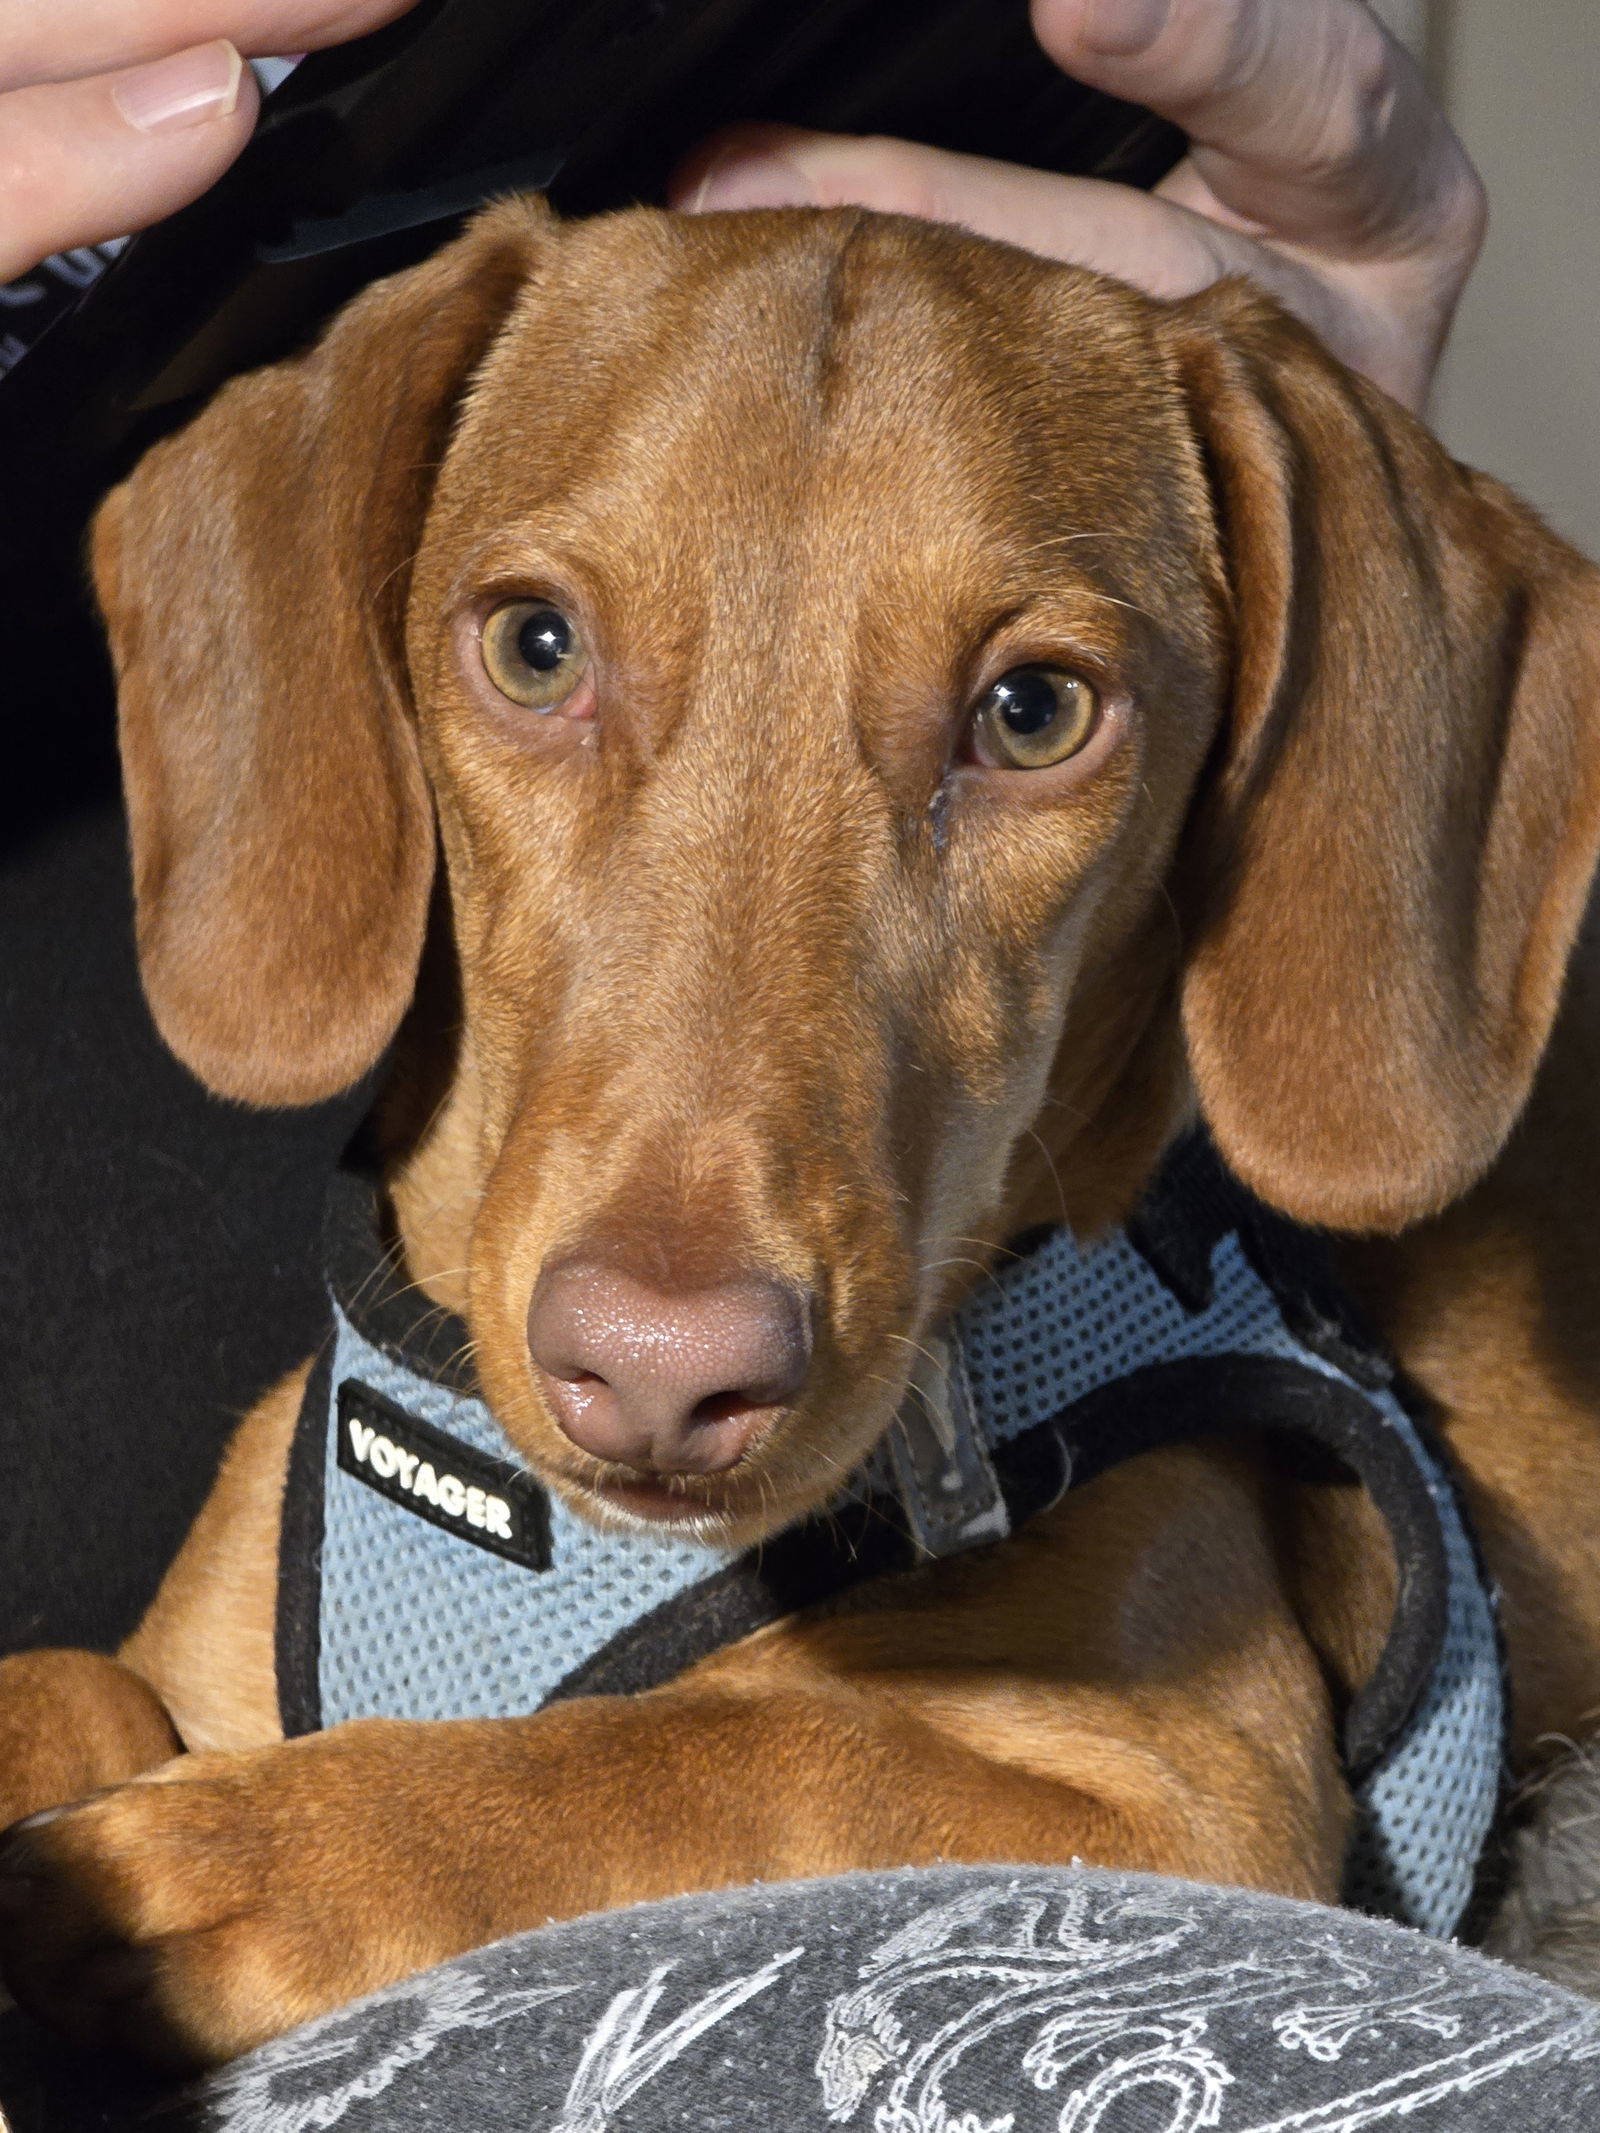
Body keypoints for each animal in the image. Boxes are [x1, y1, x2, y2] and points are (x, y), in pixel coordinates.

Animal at [3, 200, 1600, 2064]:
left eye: (1035, 710)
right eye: (535, 645)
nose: (658, 1374)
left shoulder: (1182, 1795)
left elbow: (717, 1754)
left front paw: (247, 1854)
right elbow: (76, 1682)